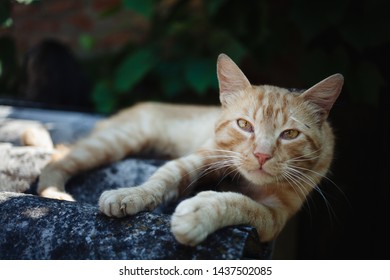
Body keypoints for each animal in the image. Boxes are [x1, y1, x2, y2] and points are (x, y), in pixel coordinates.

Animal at [38, 53, 344, 246]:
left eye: (290, 134)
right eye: (244, 125)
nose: (262, 155)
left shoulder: (275, 215)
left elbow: (240, 203)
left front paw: (199, 212)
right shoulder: (202, 156)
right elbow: (163, 178)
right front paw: (130, 194)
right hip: (116, 142)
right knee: (57, 158)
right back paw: (56, 194)